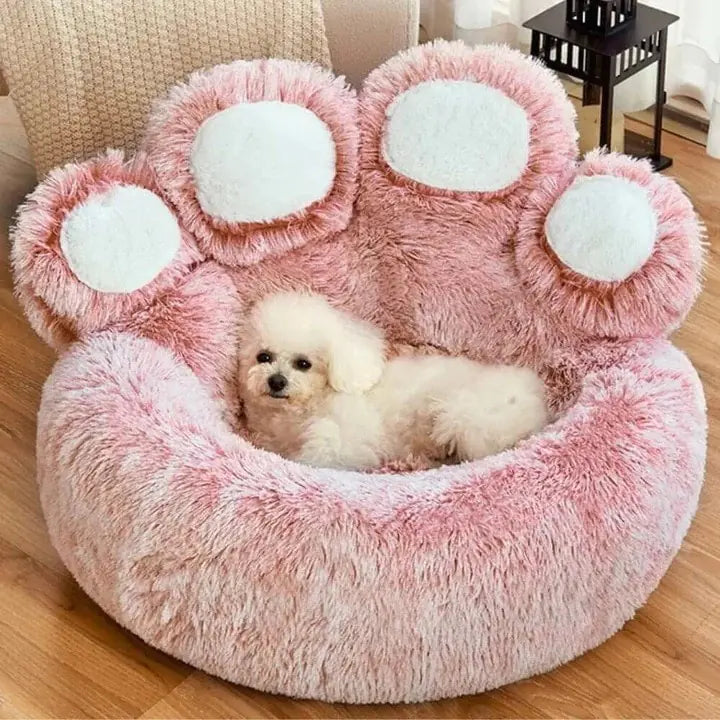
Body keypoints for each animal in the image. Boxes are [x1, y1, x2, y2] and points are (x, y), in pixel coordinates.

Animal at [239, 292, 548, 472]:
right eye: (263, 356)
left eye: (304, 363)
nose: (276, 381)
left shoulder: (342, 441)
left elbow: (322, 454)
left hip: (462, 417)